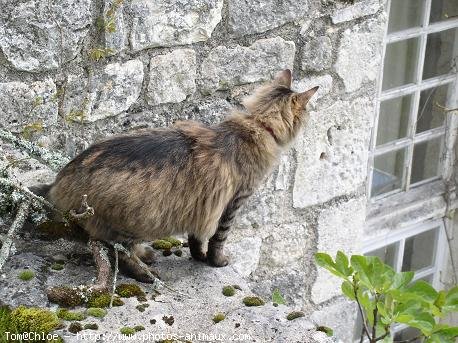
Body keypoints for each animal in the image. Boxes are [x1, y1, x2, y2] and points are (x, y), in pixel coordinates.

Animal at [35, 69, 318, 282]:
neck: (258, 125)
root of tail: (63, 177)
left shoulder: (204, 201)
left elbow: (196, 238)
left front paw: (198, 257)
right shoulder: (233, 202)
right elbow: (218, 238)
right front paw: (216, 261)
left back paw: (145, 256)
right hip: (138, 218)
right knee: (116, 250)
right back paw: (145, 273)